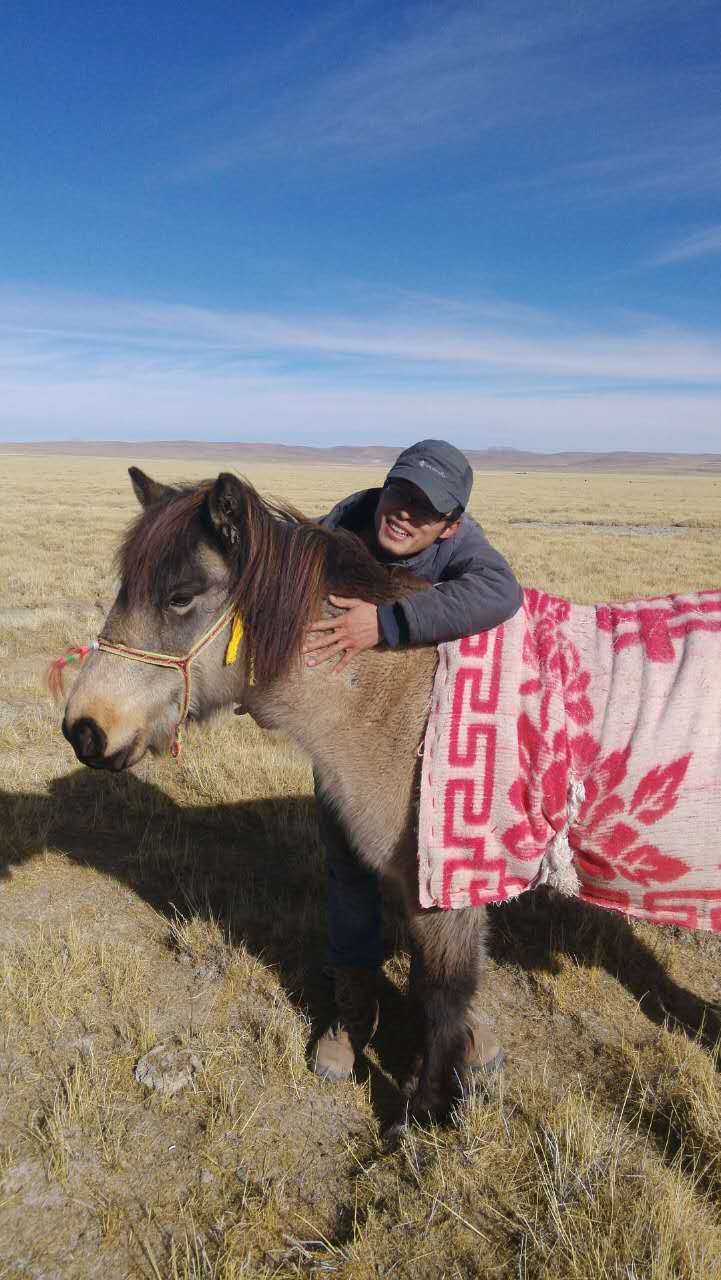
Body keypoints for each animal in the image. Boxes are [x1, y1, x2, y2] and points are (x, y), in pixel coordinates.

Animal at [62, 468, 496, 1121]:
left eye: (181, 596)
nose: (84, 729)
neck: (401, 704)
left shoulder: (448, 891)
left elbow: (443, 996)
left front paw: (423, 1115)